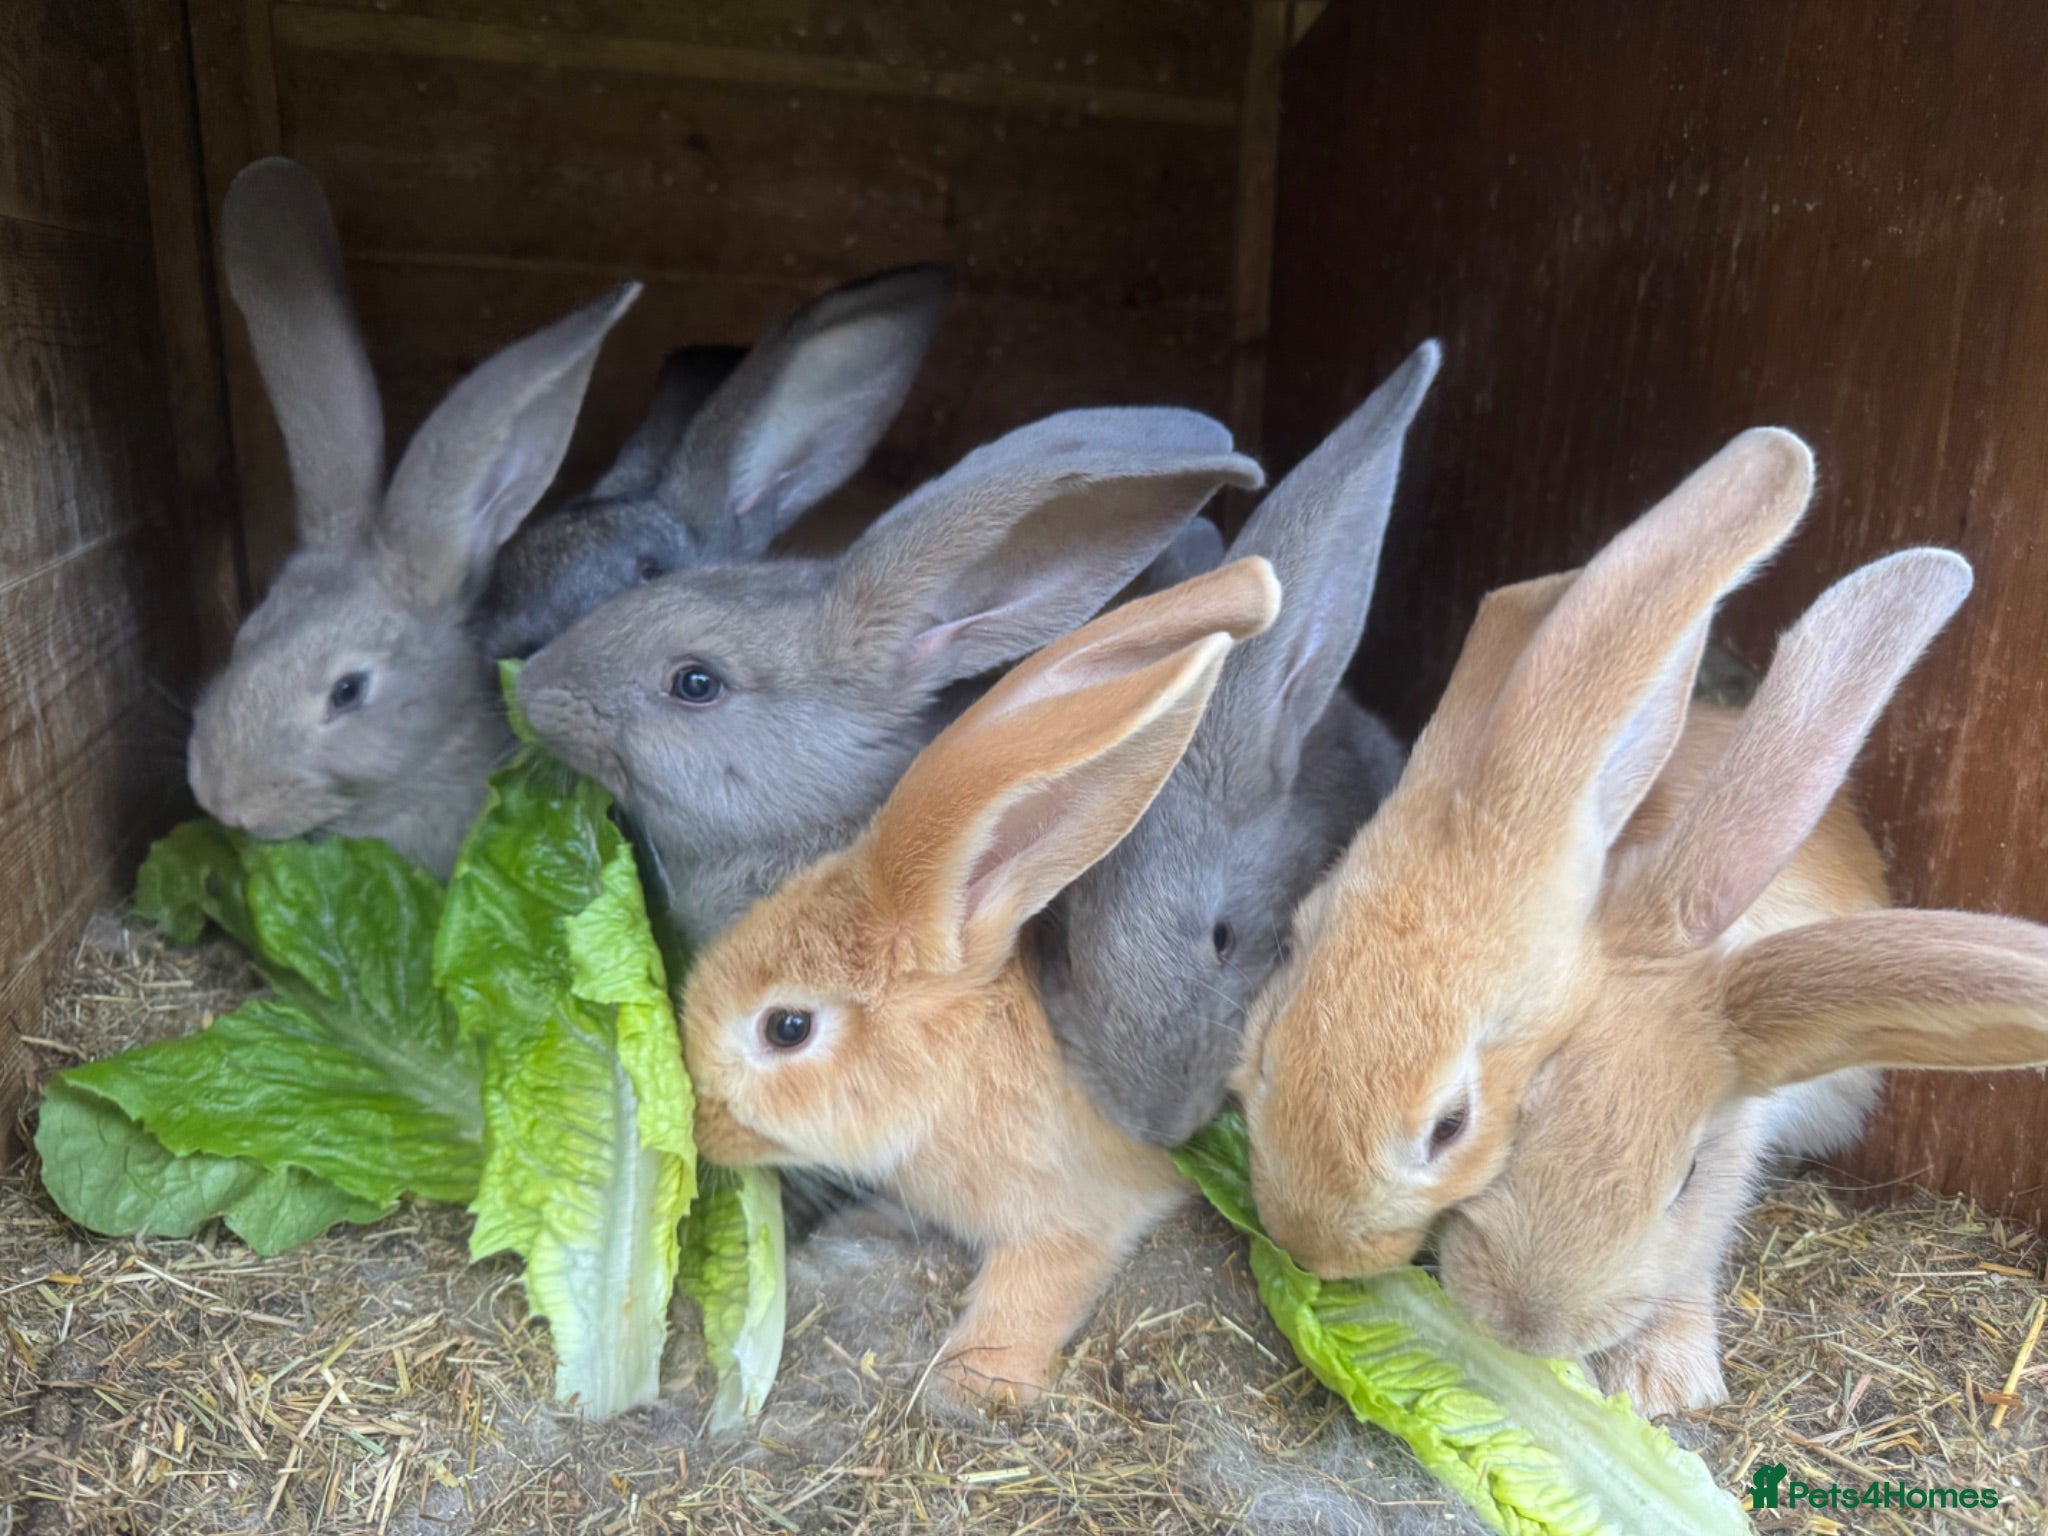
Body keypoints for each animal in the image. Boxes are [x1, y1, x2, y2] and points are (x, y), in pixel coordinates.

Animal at [677, 558, 1285, 1408]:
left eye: (786, 1027)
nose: (700, 1121)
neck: (957, 1066)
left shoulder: (1073, 1213)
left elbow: (1036, 1285)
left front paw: (971, 1382)